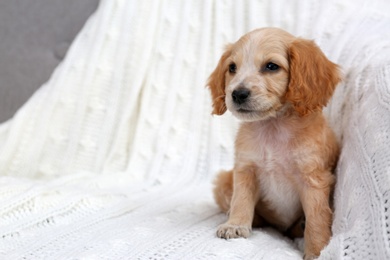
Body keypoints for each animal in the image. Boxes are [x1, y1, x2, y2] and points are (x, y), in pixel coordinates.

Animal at [209, 27, 340, 258]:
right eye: (232, 68)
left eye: (271, 66)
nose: (237, 94)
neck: (273, 127)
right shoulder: (245, 169)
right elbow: (241, 200)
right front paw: (235, 225)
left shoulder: (314, 179)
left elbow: (317, 219)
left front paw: (316, 251)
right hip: (224, 181)